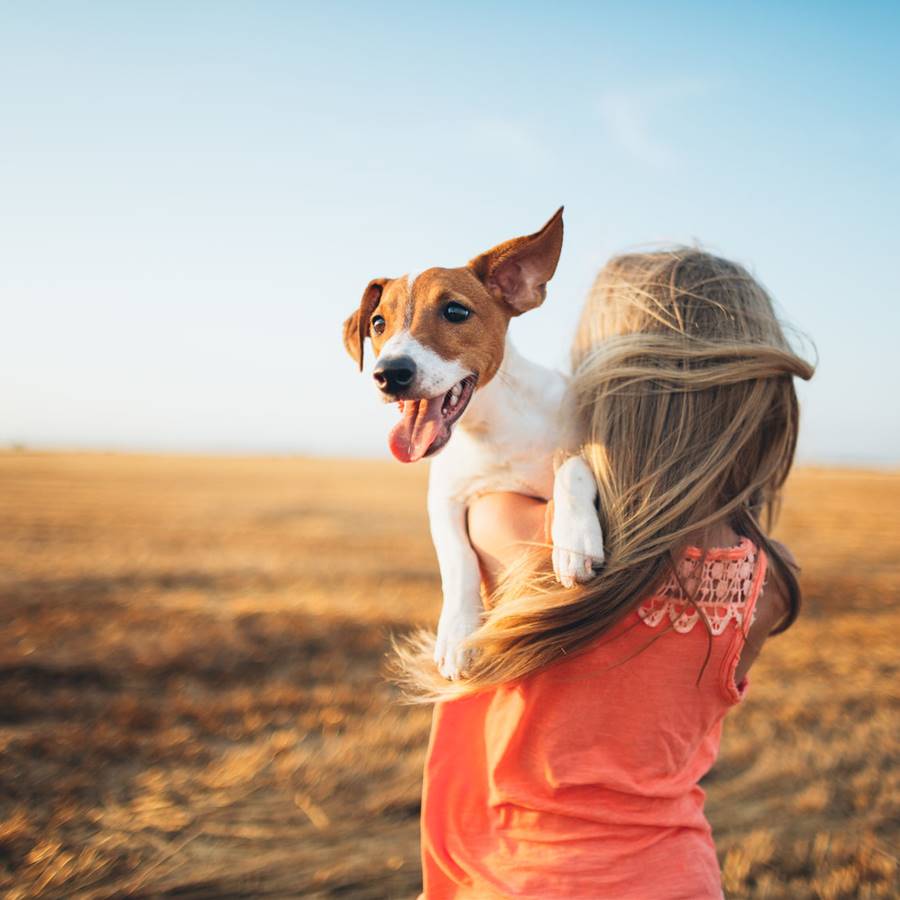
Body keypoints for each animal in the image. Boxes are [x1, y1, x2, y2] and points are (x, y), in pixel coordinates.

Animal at [342, 209, 604, 676]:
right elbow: (457, 559)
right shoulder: (444, 497)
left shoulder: (580, 436)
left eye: (455, 311)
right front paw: (458, 633)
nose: (389, 374)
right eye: (378, 323)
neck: (492, 428)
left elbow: (572, 469)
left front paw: (575, 541)